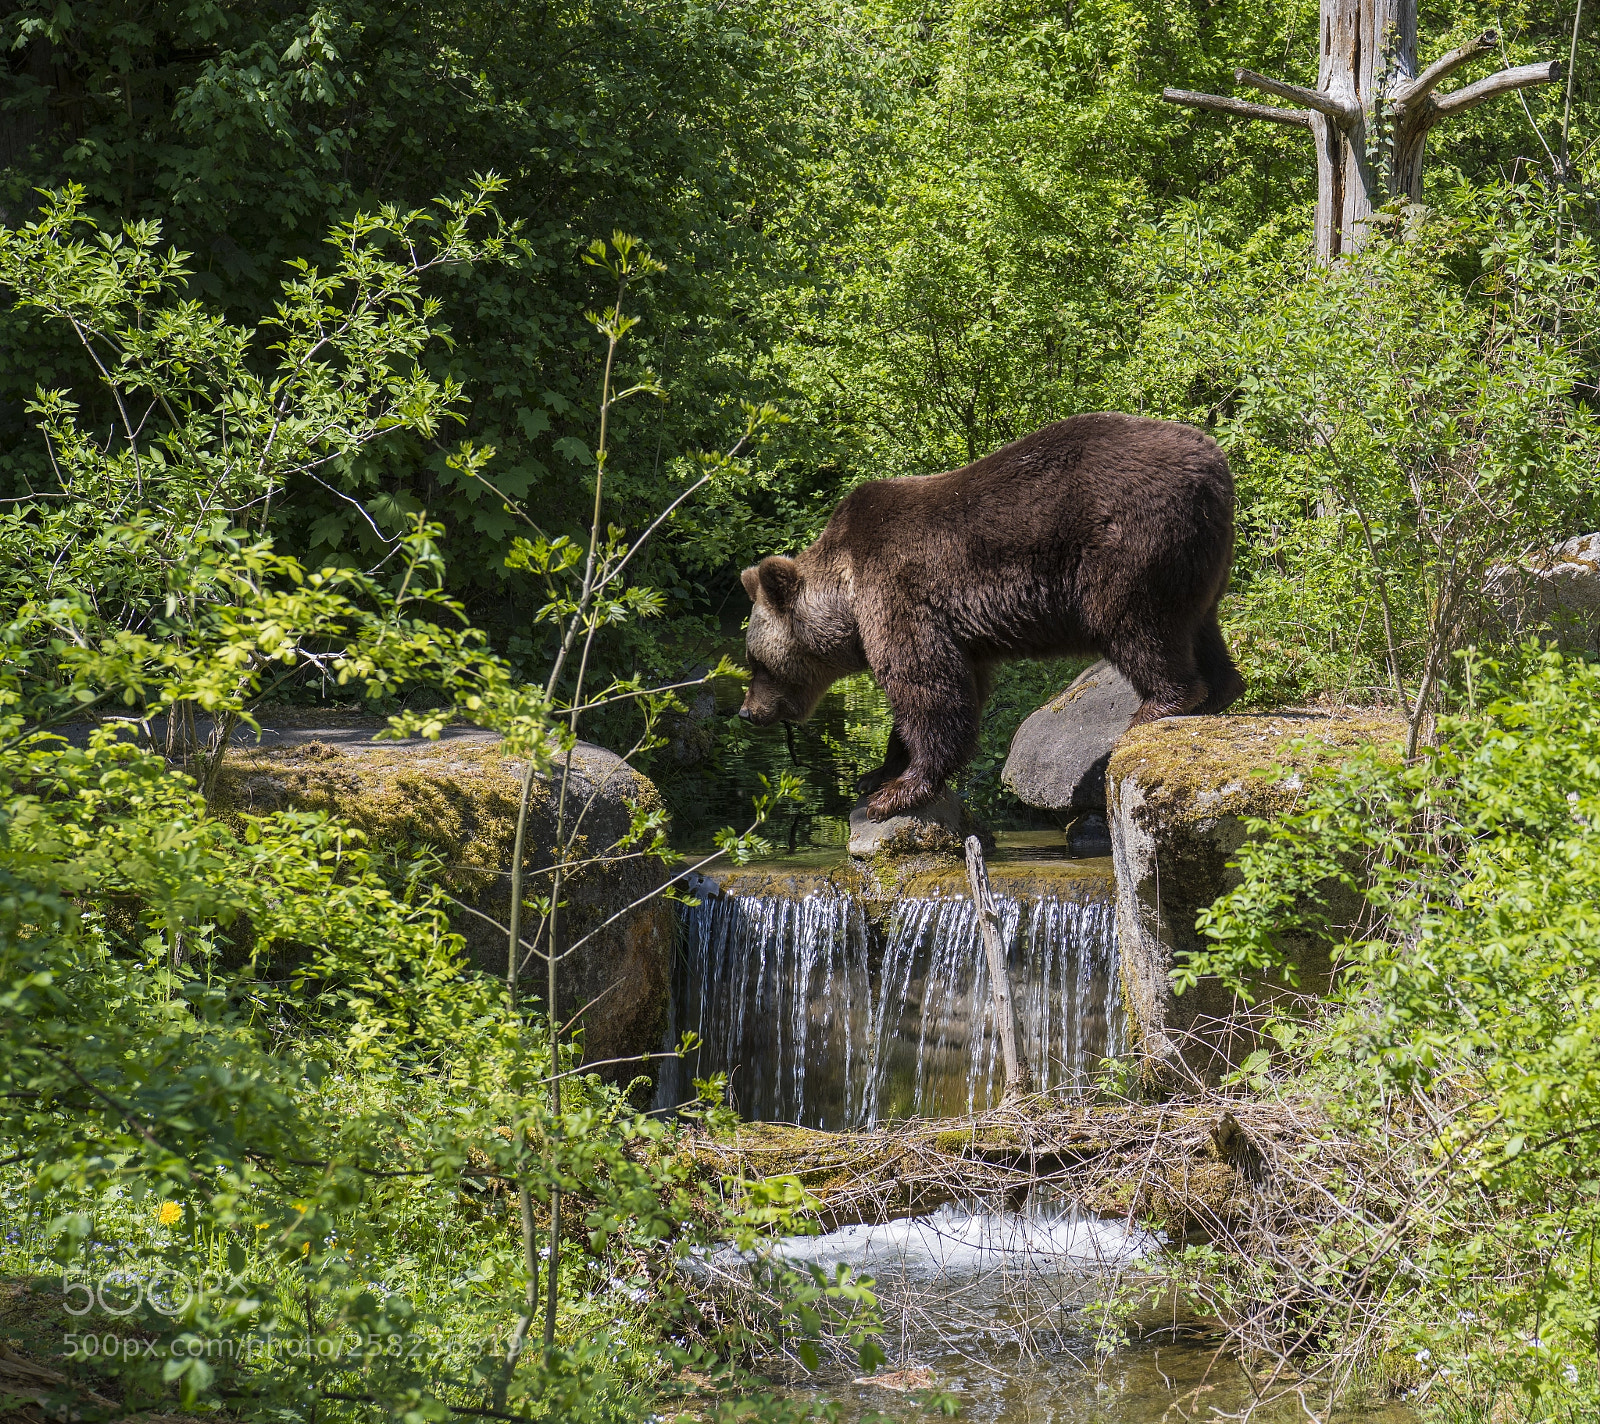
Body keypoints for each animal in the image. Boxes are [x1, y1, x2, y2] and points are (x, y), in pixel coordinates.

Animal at [738, 413, 1244, 822]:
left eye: (754, 661)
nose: (747, 711)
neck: (845, 595)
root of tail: (1215, 460)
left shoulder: (898, 592)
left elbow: (925, 685)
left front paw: (897, 792)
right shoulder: (962, 633)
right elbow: (957, 688)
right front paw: (876, 774)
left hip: (1130, 543)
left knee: (1136, 625)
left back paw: (1150, 711)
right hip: (1204, 556)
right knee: (1200, 626)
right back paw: (1219, 691)